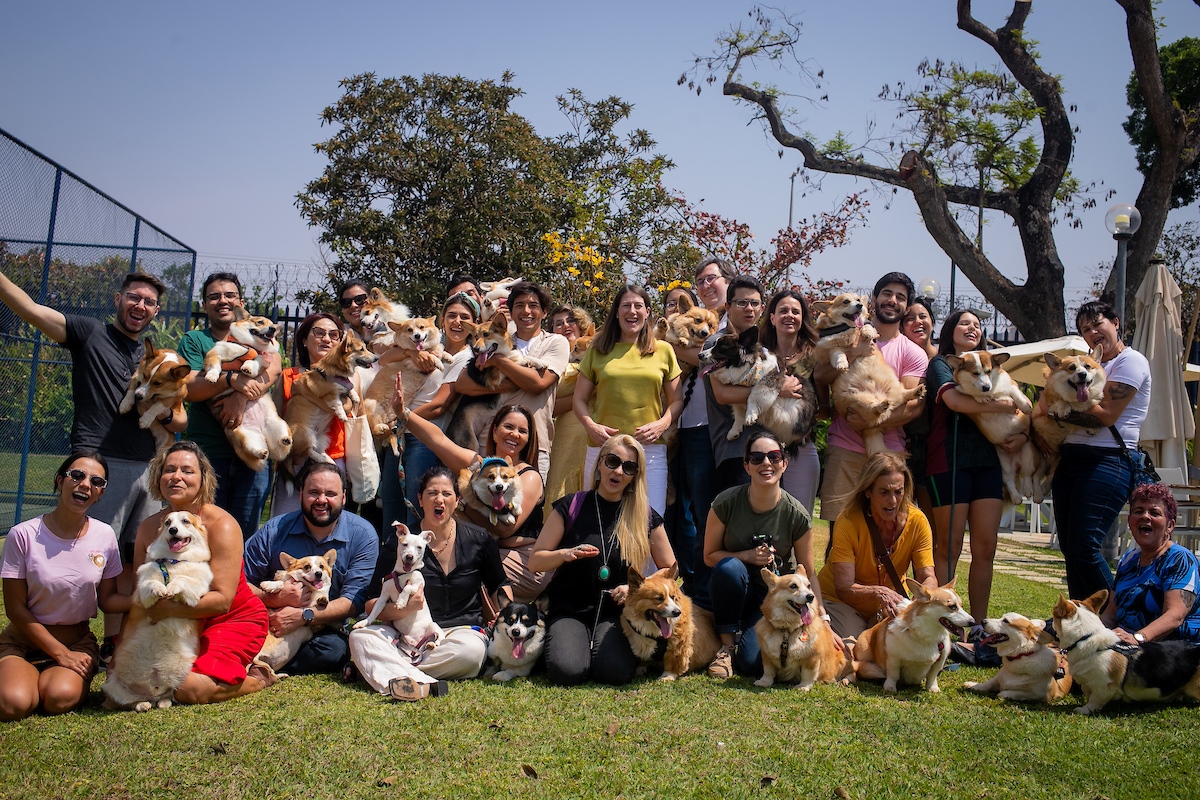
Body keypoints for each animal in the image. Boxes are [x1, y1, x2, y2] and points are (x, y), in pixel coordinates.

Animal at [284, 331, 374, 465]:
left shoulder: (345, 384)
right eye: (361, 349)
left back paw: (329, 460)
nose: (376, 358)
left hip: (323, 438)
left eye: (366, 348)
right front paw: (342, 415)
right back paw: (320, 458)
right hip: (304, 433)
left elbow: (350, 386)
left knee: (317, 449)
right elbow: (338, 403)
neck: (337, 371)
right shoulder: (330, 394)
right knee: (308, 451)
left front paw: (355, 396)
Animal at [945, 352, 1041, 503]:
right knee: (1009, 481)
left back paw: (1028, 490)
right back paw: (1016, 497)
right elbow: (968, 392)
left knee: (1026, 475)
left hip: (1028, 452)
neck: (992, 393)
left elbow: (1014, 391)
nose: (986, 387)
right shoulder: (960, 392)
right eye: (975, 373)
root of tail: (1016, 463)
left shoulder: (1011, 384)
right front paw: (979, 397)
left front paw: (1025, 406)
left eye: (989, 371)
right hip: (1003, 465)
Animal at [1032, 347, 1104, 491]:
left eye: (1088, 367)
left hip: (1059, 459)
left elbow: (1090, 406)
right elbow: (1058, 400)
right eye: (1072, 368)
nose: (1082, 375)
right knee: (1035, 477)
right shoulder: (1047, 398)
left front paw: (1092, 427)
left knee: (1050, 475)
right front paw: (1063, 408)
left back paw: (1045, 488)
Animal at [1051, 592, 1200, 714]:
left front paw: (1083, 710)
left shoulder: (1104, 685)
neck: (1085, 637)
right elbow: (1088, 694)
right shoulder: (1086, 683)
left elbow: (1094, 700)